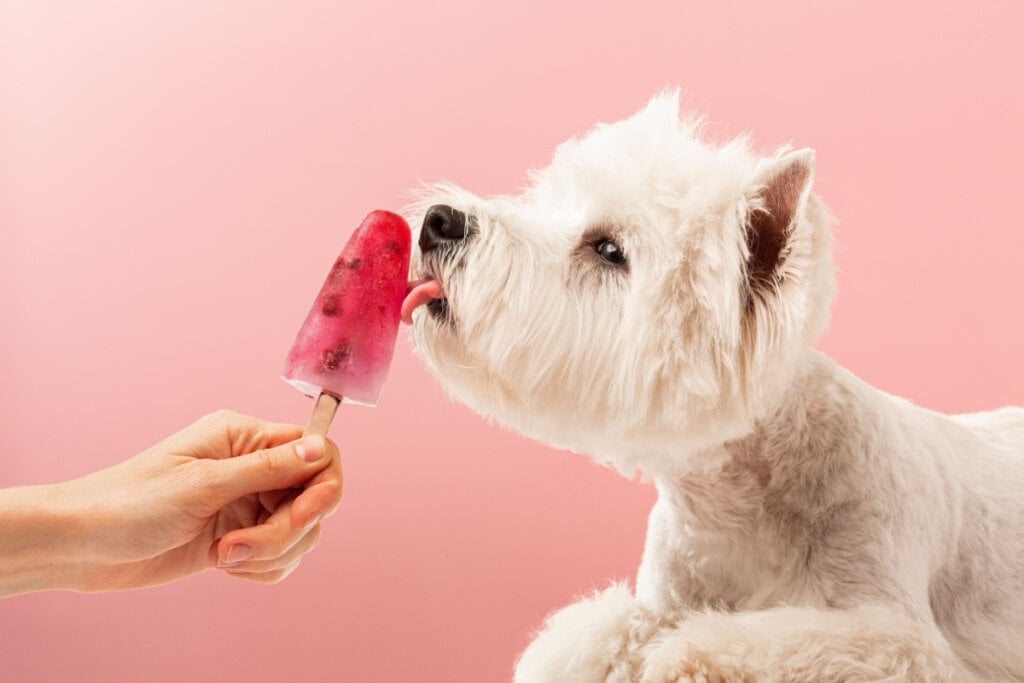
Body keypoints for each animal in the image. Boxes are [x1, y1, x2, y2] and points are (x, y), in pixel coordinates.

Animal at [399, 92, 1024, 683]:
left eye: (609, 250)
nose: (439, 220)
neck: (738, 506)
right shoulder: (664, 594)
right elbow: (596, 633)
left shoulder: (899, 635)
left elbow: (760, 647)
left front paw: (684, 656)